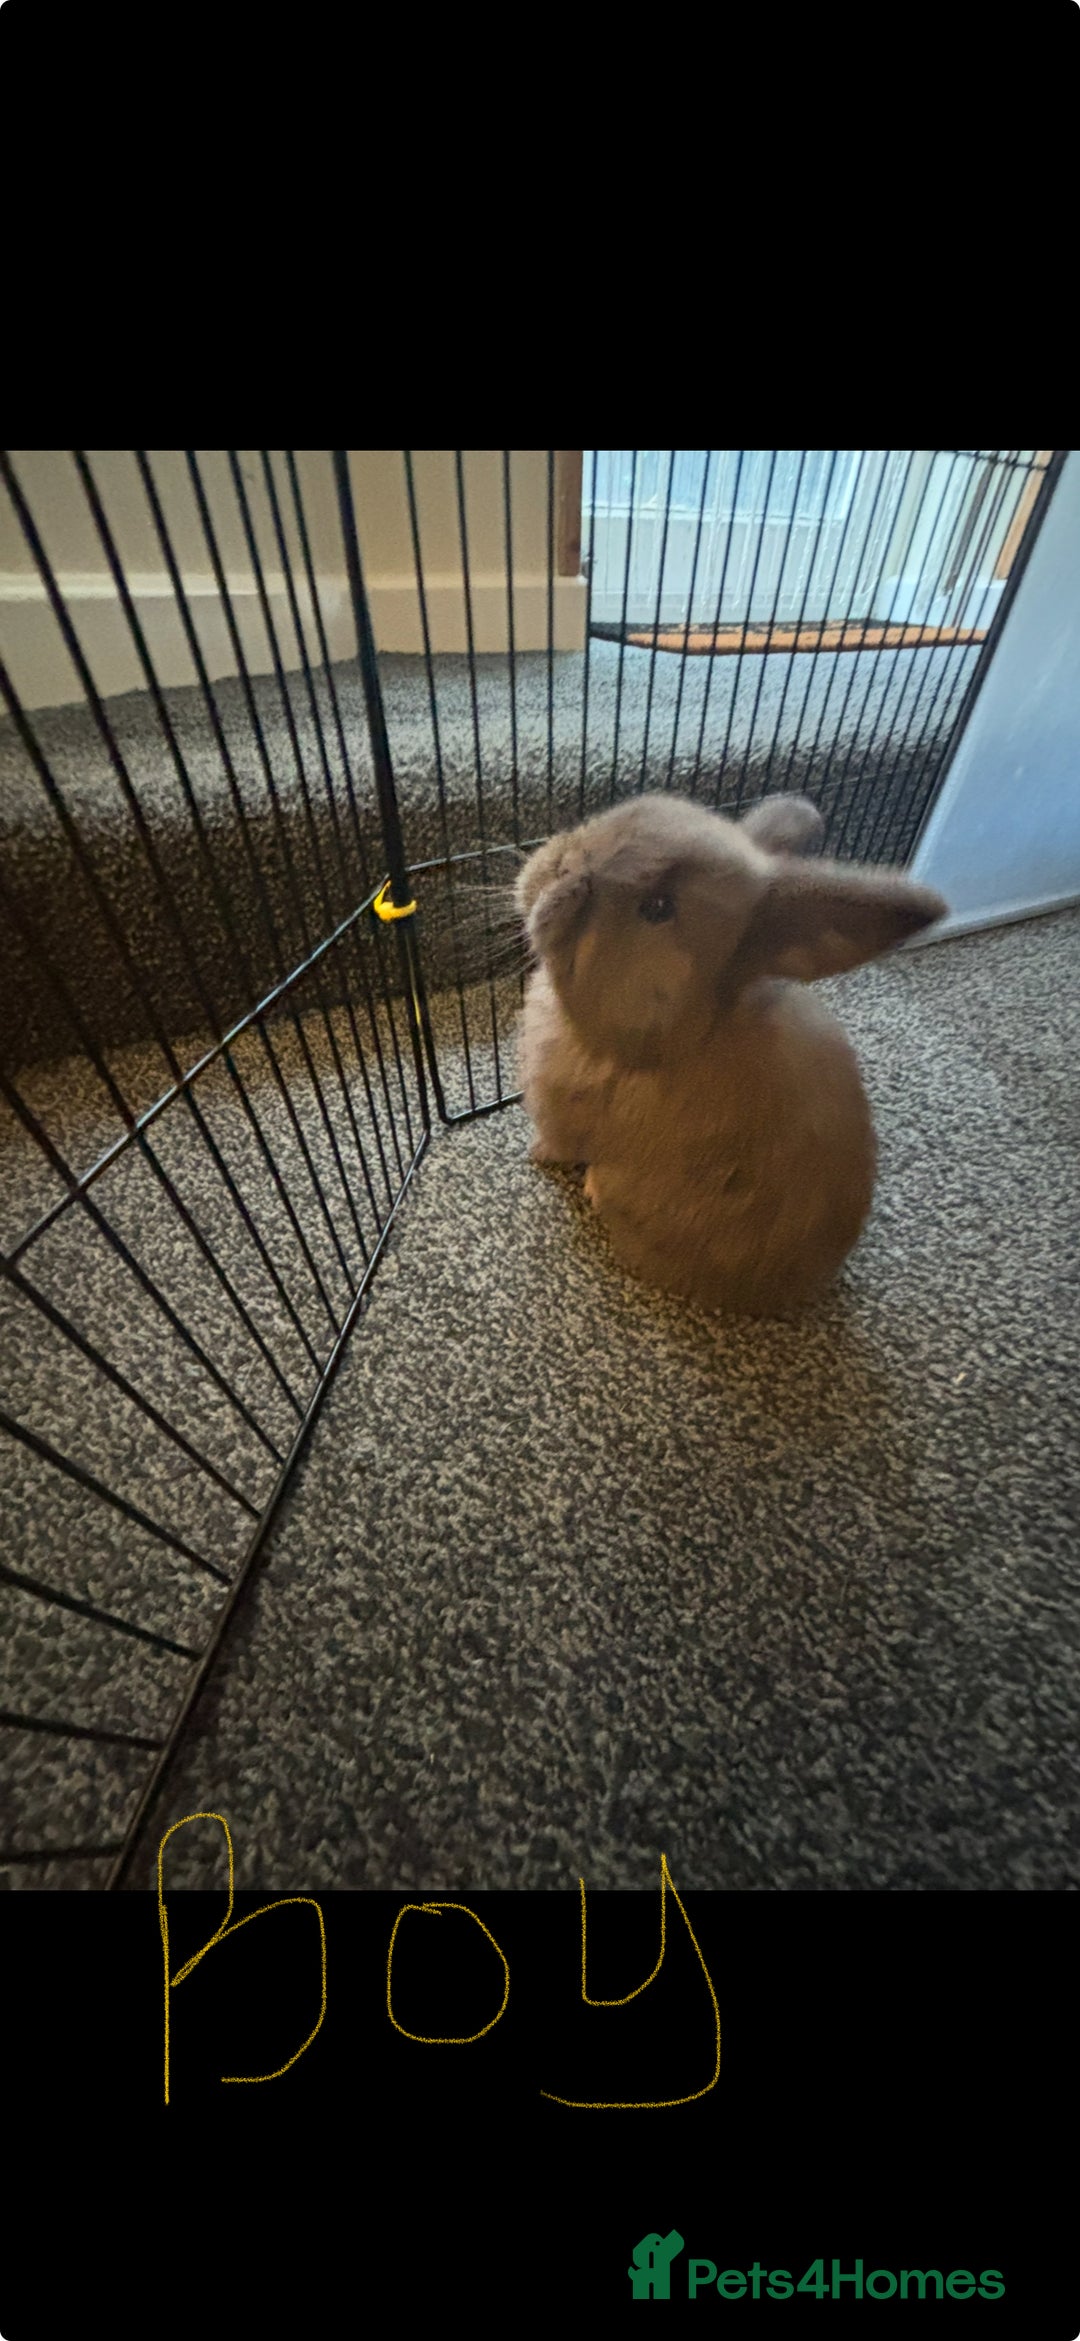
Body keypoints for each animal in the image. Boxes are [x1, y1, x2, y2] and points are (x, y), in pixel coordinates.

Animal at [514, 791, 947, 1317]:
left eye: (657, 908)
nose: (560, 867)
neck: (675, 1034)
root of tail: (785, 1293)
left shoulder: (565, 1116)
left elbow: (558, 1143)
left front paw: (535, 1155)